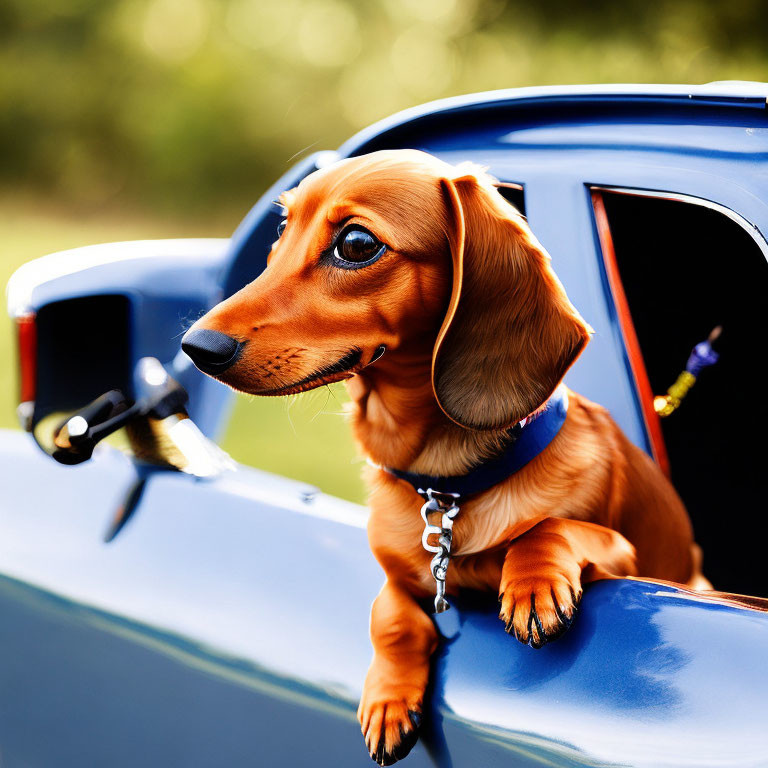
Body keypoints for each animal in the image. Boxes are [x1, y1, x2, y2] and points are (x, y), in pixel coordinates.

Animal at [184, 148, 708, 760]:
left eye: (356, 244)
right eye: (283, 228)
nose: (194, 347)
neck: (449, 485)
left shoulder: (629, 559)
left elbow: (547, 528)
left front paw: (532, 584)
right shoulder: (396, 575)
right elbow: (389, 616)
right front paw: (389, 699)